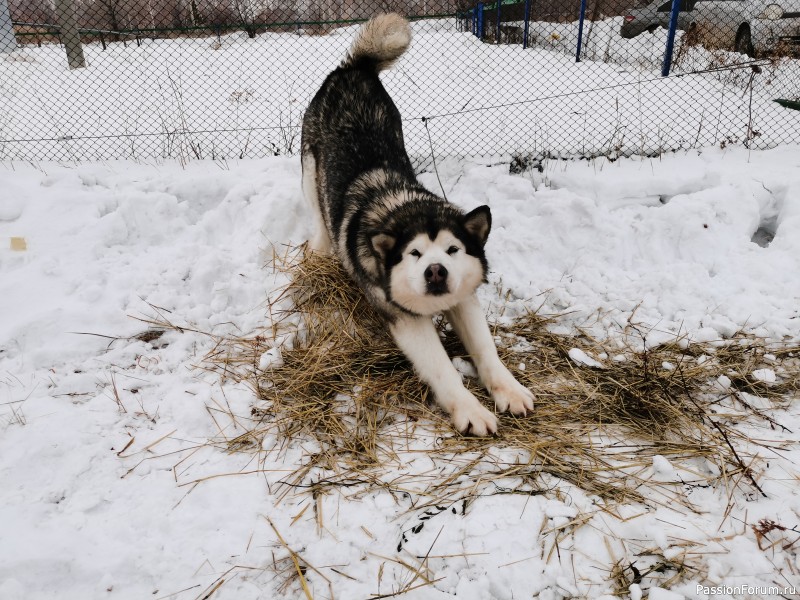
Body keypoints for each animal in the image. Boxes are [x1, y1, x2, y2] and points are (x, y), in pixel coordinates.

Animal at [298, 12, 532, 436]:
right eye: (415, 254)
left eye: (453, 250)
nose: (436, 271)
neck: (402, 205)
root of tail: (354, 68)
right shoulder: (406, 320)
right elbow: (442, 368)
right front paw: (470, 409)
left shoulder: (464, 297)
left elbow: (486, 349)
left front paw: (508, 389)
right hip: (310, 170)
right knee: (319, 214)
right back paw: (322, 249)